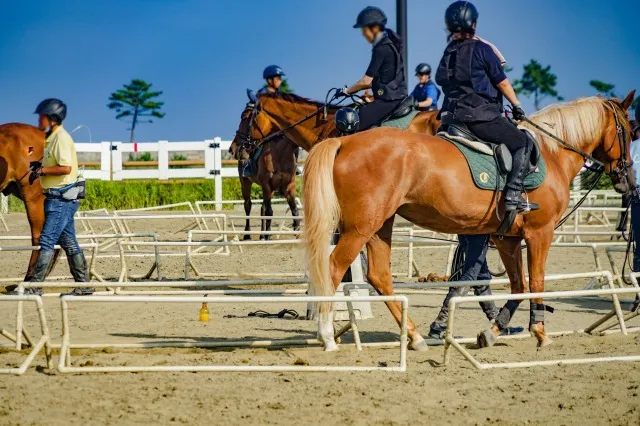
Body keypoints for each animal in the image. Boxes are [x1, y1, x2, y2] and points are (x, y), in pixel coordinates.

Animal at [300, 92, 636, 351]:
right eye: (629, 131)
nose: (629, 180)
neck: (552, 154)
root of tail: (345, 142)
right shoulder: (540, 233)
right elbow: (536, 283)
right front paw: (540, 332)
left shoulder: (506, 239)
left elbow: (518, 285)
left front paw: (493, 331)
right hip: (362, 227)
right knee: (334, 268)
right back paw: (327, 336)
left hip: (379, 225)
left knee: (379, 276)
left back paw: (415, 337)